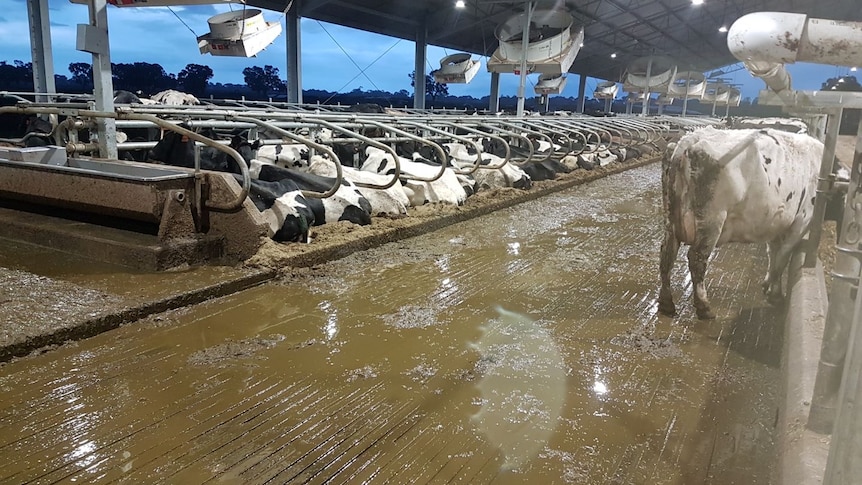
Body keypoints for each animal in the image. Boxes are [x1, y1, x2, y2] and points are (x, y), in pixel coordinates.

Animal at [660, 126, 824, 320]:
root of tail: (692, 137)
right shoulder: (802, 221)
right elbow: (782, 259)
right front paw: (775, 294)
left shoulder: (776, 225)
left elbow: (773, 255)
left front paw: (768, 285)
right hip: (712, 219)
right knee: (696, 258)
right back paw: (704, 307)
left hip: (671, 220)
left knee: (666, 254)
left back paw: (666, 303)